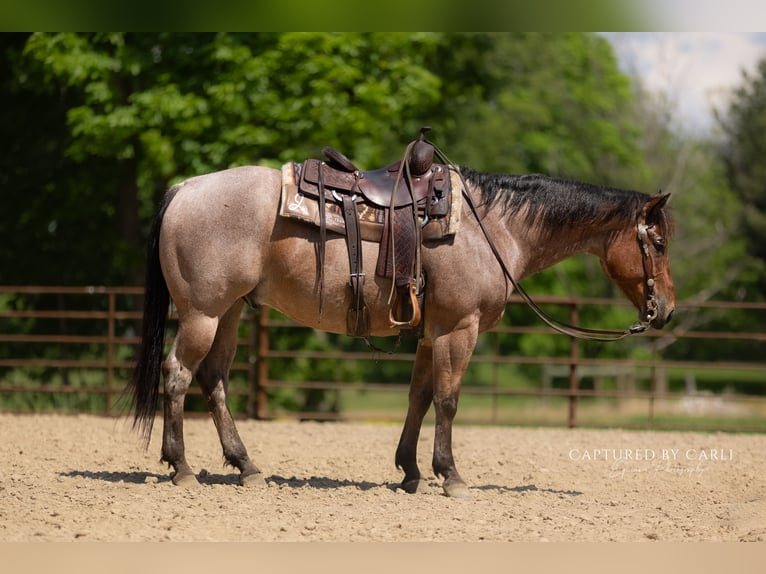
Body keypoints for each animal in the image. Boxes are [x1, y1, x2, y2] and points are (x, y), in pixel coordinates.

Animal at [127, 160, 675, 498]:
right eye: (660, 243)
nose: (666, 310)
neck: (491, 228)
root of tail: (185, 189)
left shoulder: (431, 335)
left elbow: (420, 398)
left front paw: (410, 471)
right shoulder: (459, 329)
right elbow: (448, 401)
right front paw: (451, 476)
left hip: (231, 313)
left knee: (213, 380)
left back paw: (246, 467)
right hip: (202, 313)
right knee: (178, 375)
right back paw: (181, 467)